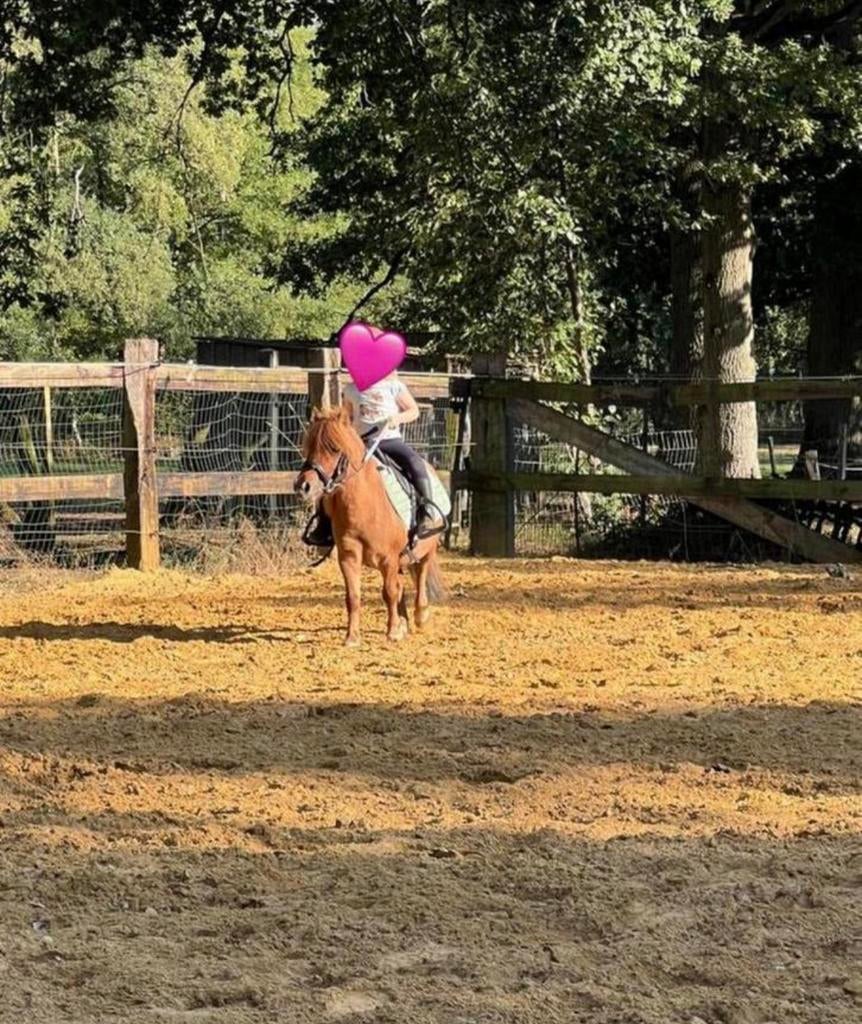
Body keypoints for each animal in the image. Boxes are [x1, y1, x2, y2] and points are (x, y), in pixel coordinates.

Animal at [294, 405, 445, 646]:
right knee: (402, 586)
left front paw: (392, 632)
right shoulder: (349, 555)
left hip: (426, 548)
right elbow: (354, 596)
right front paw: (352, 637)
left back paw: (420, 615)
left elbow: (389, 592)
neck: (365, 503)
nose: (303, 486)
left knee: (421, 576)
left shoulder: (389, 558)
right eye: (309, 447)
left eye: (334, 448)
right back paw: (403, 623)